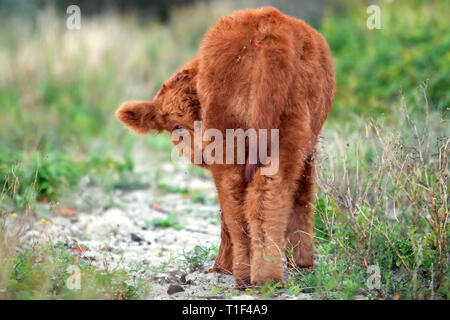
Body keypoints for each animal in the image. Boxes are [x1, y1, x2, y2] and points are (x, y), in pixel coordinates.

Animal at [116, 6, 334, 288]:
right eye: (176, 126)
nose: (202, 149)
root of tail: (266, 24)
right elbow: (302, 198)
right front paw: (303, 263)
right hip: (280, 134)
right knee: (260, 197)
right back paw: (258, 277)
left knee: (243, 200)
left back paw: (246, 274)